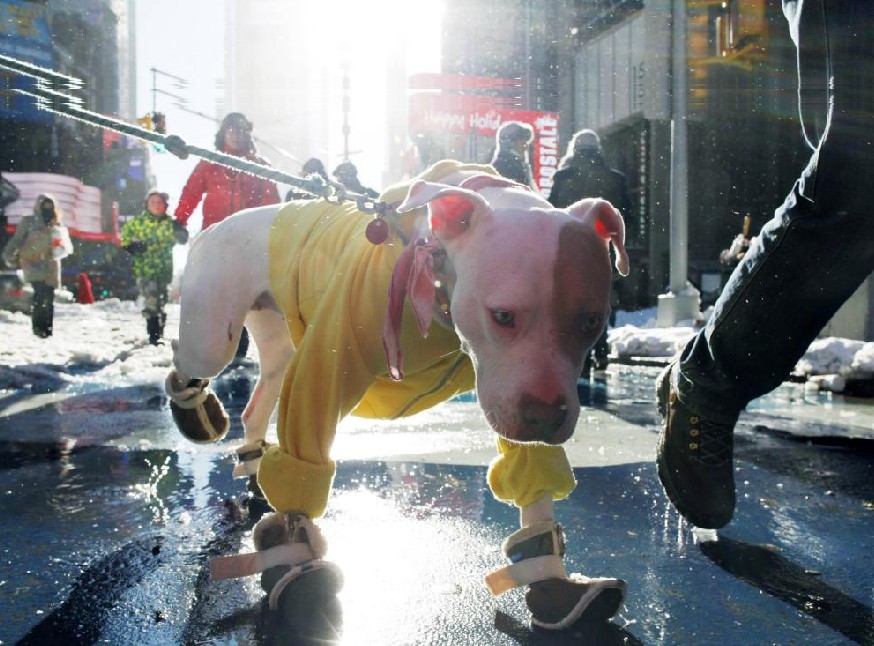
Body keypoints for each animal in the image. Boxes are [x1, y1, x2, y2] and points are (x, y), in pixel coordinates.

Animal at [164, 161, 628, 632]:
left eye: (592, 321)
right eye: (502, 316)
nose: (547, 417)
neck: (436, 278)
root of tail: (218, 224)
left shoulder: (516, 389)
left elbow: (532, 477)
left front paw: (551, 583)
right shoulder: (327, 364)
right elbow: (303, 460)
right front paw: (295, 564)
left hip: (278, 345)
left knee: (257, 403)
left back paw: (254, 464)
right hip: (212, 336)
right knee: (188, 358)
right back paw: (196, 412)